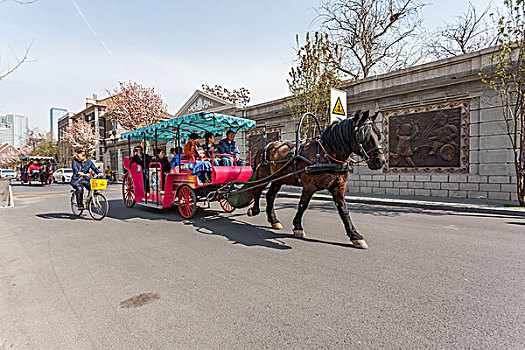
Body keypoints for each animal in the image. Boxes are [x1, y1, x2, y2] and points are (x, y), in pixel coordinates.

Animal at [246, 109, 384, 249]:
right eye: (364, 136)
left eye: (378, 136)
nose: (380, 161)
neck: (327, 154)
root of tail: (264, 147)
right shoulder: (309, 186)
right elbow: (303, 204)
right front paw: (298, 227)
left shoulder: (338, 186)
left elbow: (343, 209)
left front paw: (355, 236)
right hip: (264, 176)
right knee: (257, 190)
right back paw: (255, 209)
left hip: (278, 179)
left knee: (270, 196)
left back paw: (274, 220)